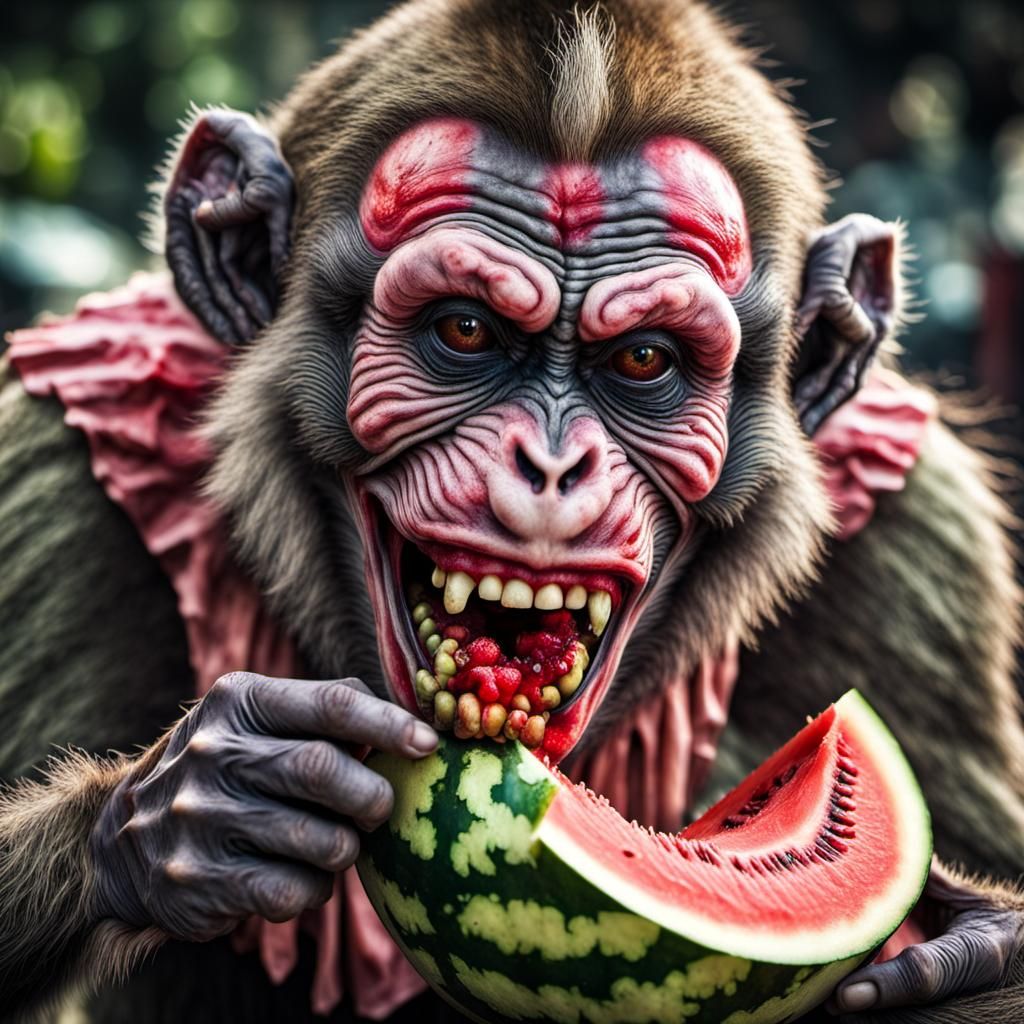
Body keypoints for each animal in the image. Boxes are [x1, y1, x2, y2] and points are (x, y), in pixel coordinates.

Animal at [1, 0, 1022, 1022]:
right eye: (464, 330)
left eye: (645, 358)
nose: (553, 465)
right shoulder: (50, 479)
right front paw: (189, 803)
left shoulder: (924, 550)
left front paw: (975, 942)